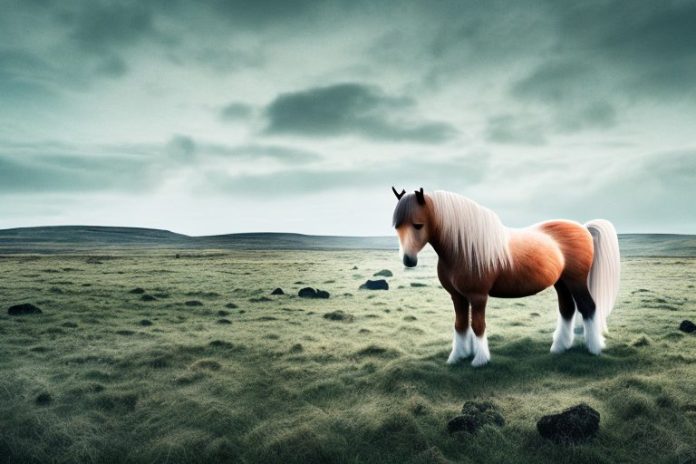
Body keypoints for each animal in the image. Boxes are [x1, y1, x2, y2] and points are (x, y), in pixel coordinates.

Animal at [391, 187, 620, 367]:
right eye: (397, 227)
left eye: (418, 225)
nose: (408, 260)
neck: (463, 248)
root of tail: (583, 228)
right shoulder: (457, 297)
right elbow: (460, 325)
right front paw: (456, 357)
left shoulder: (478, 296)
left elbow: (478, 326)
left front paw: (480, 360)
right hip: (561, 283)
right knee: (567, 310)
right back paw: (559, 347)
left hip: (576, 282)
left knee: (588, 308)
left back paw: (594, 349)